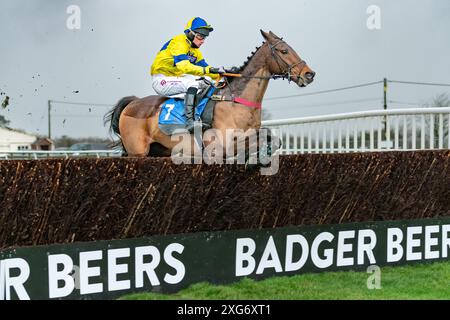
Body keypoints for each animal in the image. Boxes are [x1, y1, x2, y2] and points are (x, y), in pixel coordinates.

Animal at [105, 30, 316, 158]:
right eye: (283, 50)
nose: (309, 74)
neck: (236, 101)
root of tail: (132, 103)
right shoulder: (222, 147)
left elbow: (272, 137)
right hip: (137, 151)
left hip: (158, 150)